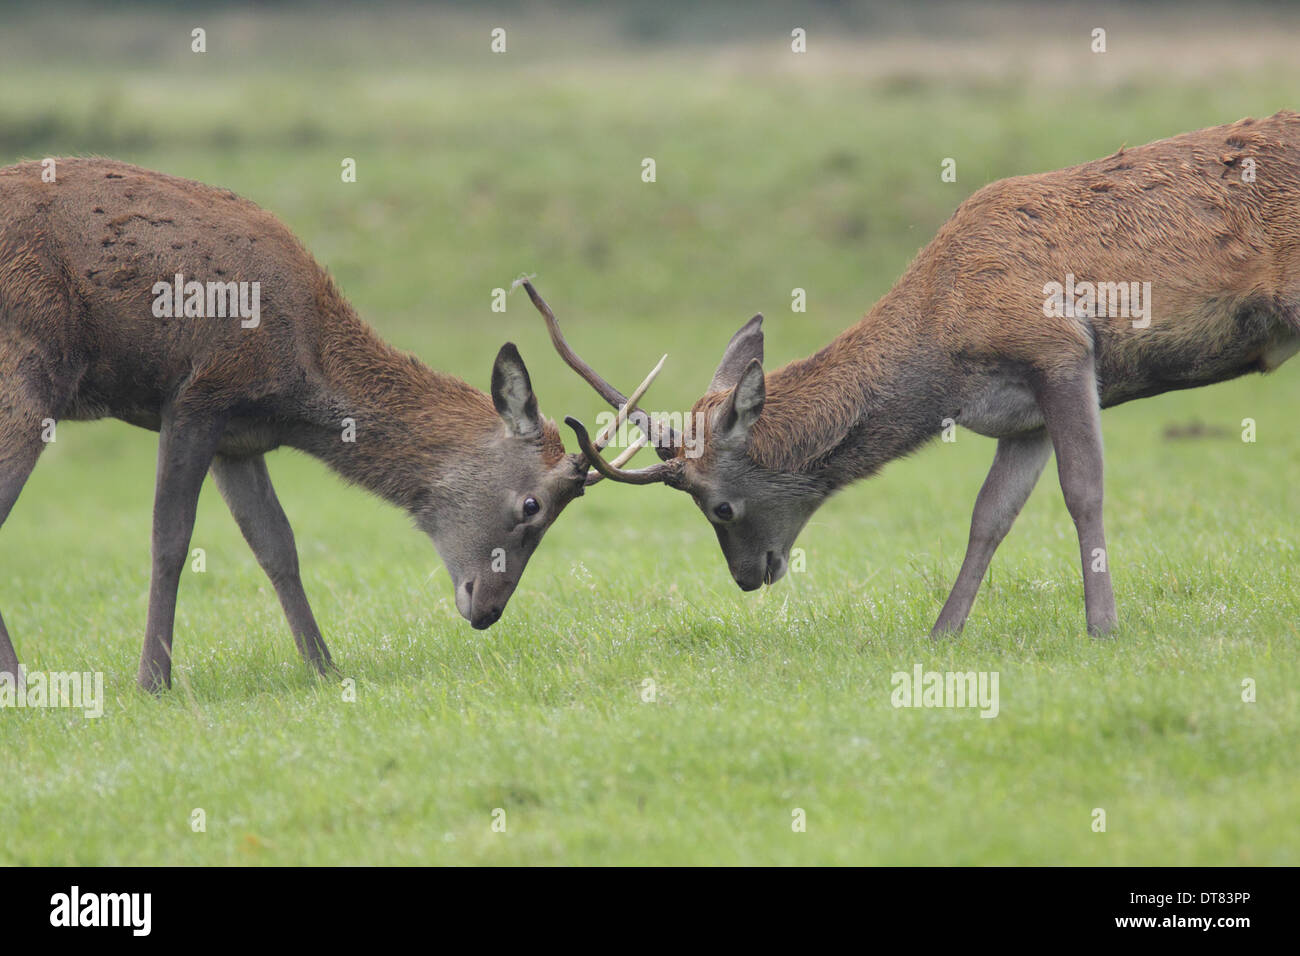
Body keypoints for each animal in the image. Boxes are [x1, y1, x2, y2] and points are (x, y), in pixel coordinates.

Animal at [0, 158, 664, 691]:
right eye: (532, 505)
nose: (487, 612)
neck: (301, 386)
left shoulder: (239, 438)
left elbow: (277, 545)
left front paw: (324, 668)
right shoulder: (196, 397)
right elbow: (171, 540)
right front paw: (153, 681)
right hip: (27, 374)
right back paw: (20, 684)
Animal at [537, 111, 1300, 638]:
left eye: (718, 507)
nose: (750, 578)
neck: (944, 363)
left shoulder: (1059, 349)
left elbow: (1084, 491)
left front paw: (1103, 626)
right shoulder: (1021, 415)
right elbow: (990, 514)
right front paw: (943, 632)